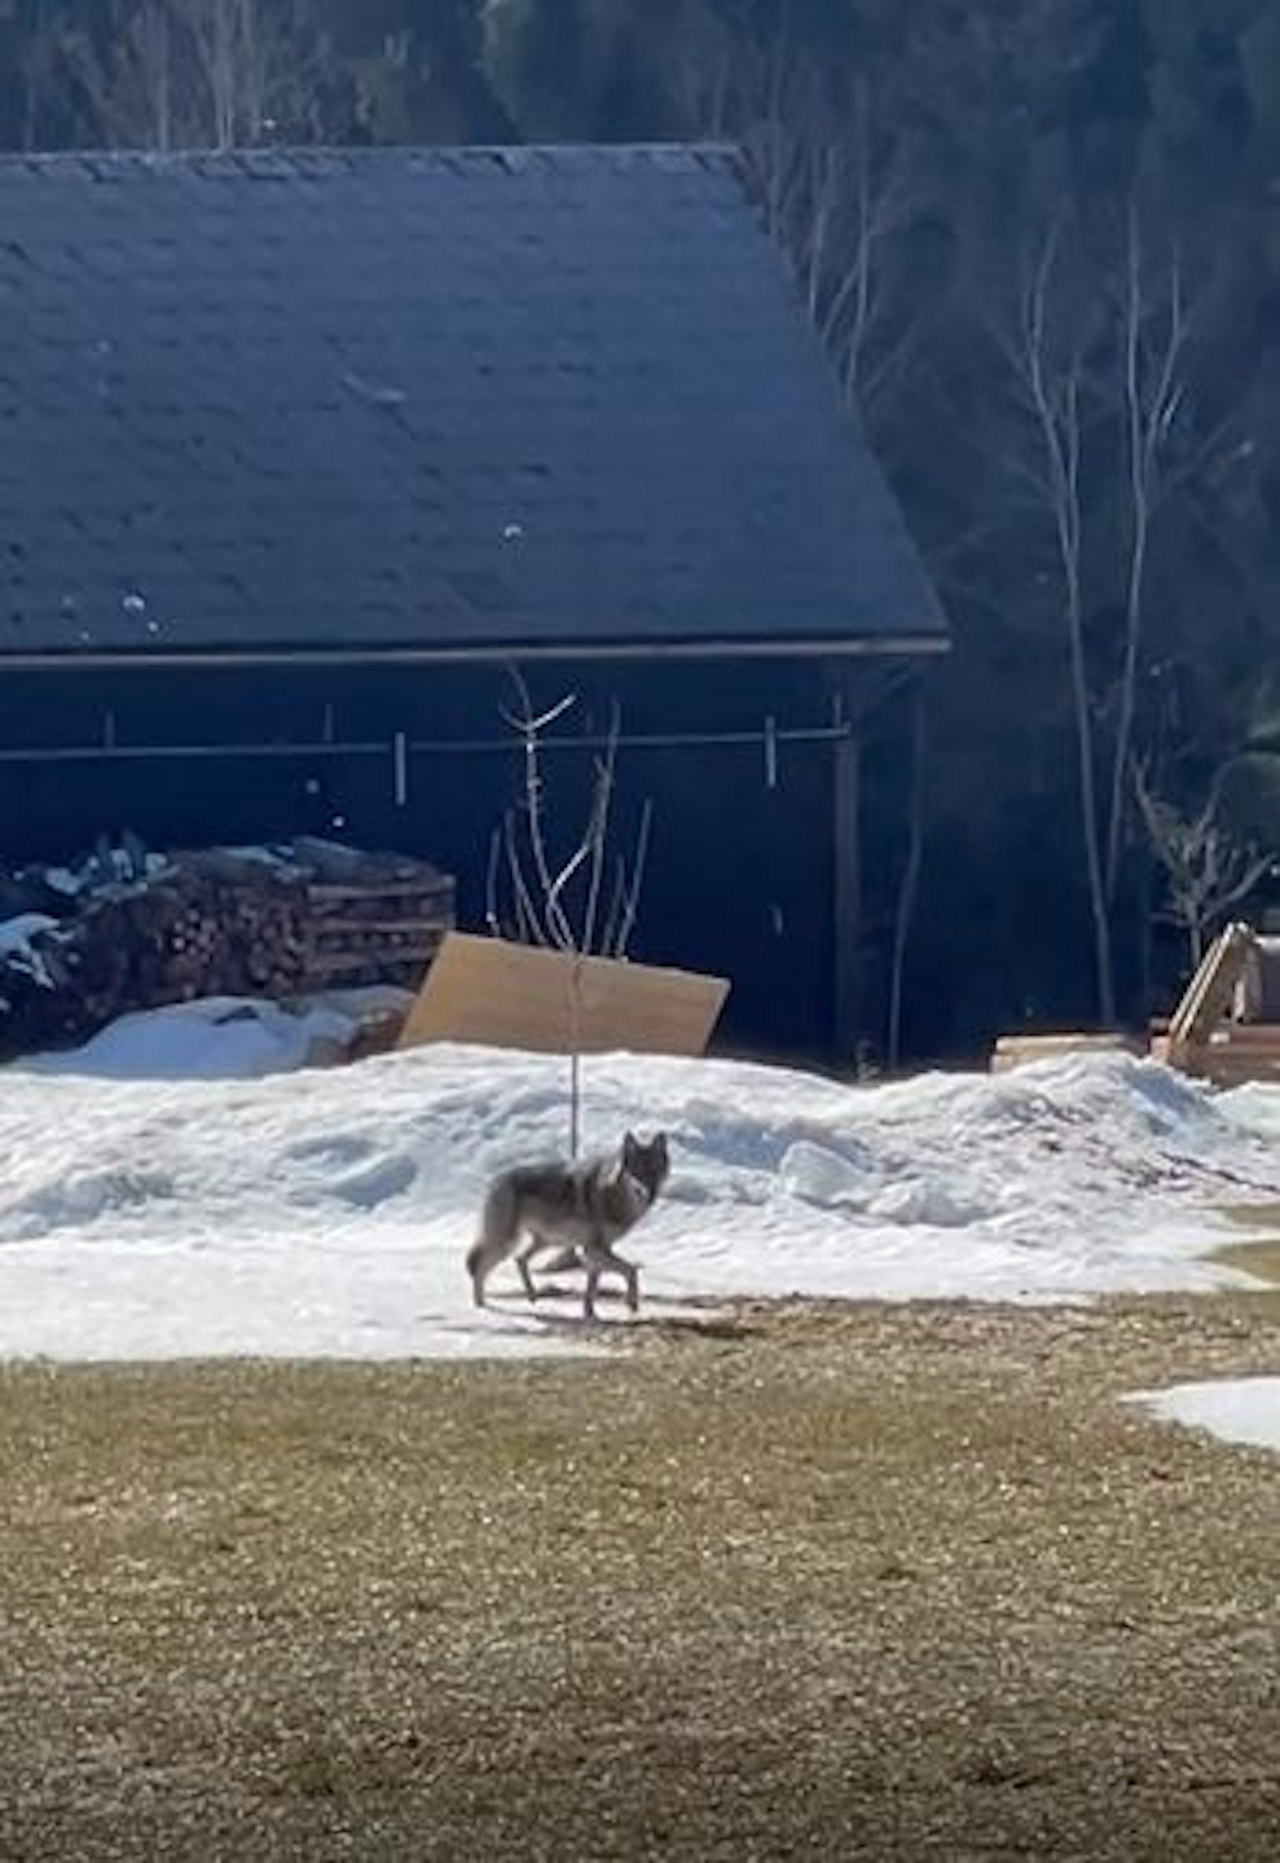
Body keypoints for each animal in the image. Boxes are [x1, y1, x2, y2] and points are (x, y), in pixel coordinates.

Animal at [466, 1130, 671, 1321]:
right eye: (637, 1172)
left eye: (655, 1171)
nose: (650, 1193)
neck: (611, 1195)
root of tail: (497, 1178)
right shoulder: (593, 1249)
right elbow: (631, 1270)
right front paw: (632, 1303)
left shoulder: (597, 1252)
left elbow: (592, 1288)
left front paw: (590, 1314)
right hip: (507, 1243)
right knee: (480, 1267)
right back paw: (480, 1306)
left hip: (546, 1242)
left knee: (520, 1259)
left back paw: (532, 1295)